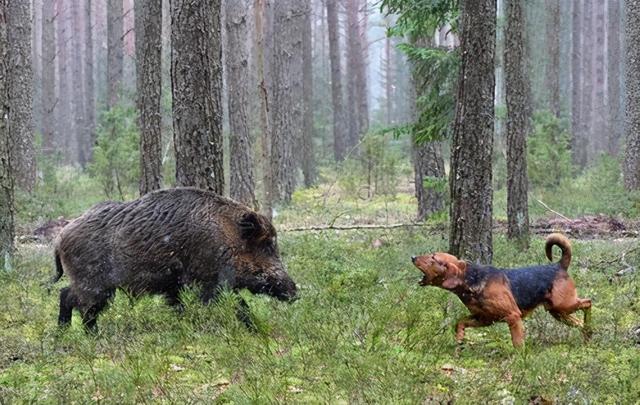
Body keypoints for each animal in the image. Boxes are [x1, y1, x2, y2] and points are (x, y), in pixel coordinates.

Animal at [412, 234, 592, 348]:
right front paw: (459, 340)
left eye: (433, 258)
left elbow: (518, 344)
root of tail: (559, 265)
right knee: (580, 322)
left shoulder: (513, 316)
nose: (412, 257)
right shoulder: (484, 319)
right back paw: (587, 336)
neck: (471, 280)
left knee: (588, 302)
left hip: (563, 305)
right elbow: (460, 322)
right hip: (558, 312)